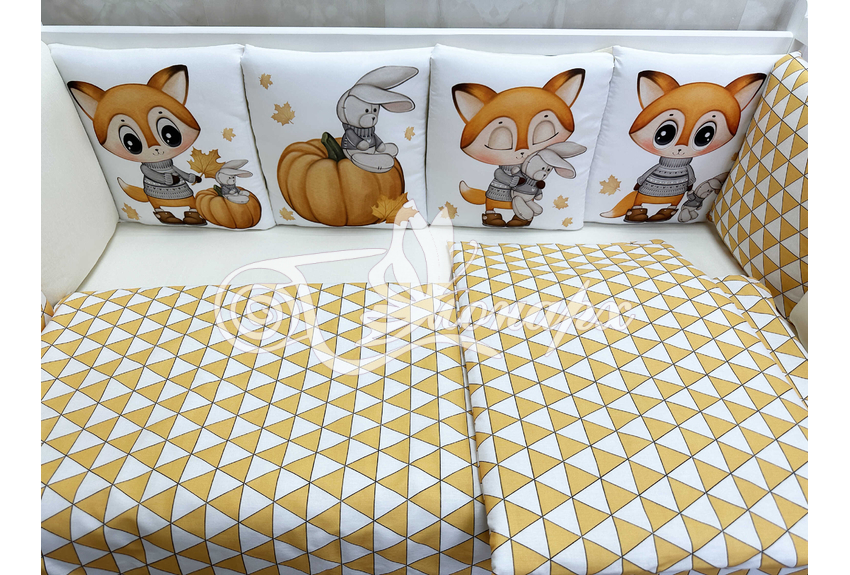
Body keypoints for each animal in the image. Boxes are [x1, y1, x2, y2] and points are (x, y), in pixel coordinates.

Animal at [67, 65, 207, 225]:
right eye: (131, 143)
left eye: (170, 135)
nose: (156, 149)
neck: (160, 163)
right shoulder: (145, 167)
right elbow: (149, 171)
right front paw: (169, 179)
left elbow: (180, 172)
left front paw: (193, 178)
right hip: (154, 200)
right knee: (157, 206)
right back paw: (167, 217)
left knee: (191, 203)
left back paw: (192, 218)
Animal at [452, 70, 586, 227]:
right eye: (501, 139)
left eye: (543, 133)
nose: (522, 152)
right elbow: (500, 174)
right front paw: (516, 182)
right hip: (491, 200)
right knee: (490, 206)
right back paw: (494, 219)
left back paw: (519, 221)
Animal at [601, 70, 766, 223]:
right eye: (664, 135)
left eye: (705, 136)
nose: (680, 148)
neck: (674, 164)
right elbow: (641, 181)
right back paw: (638, 216)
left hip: (676, 198)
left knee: (673, 205)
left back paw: (663, 215)